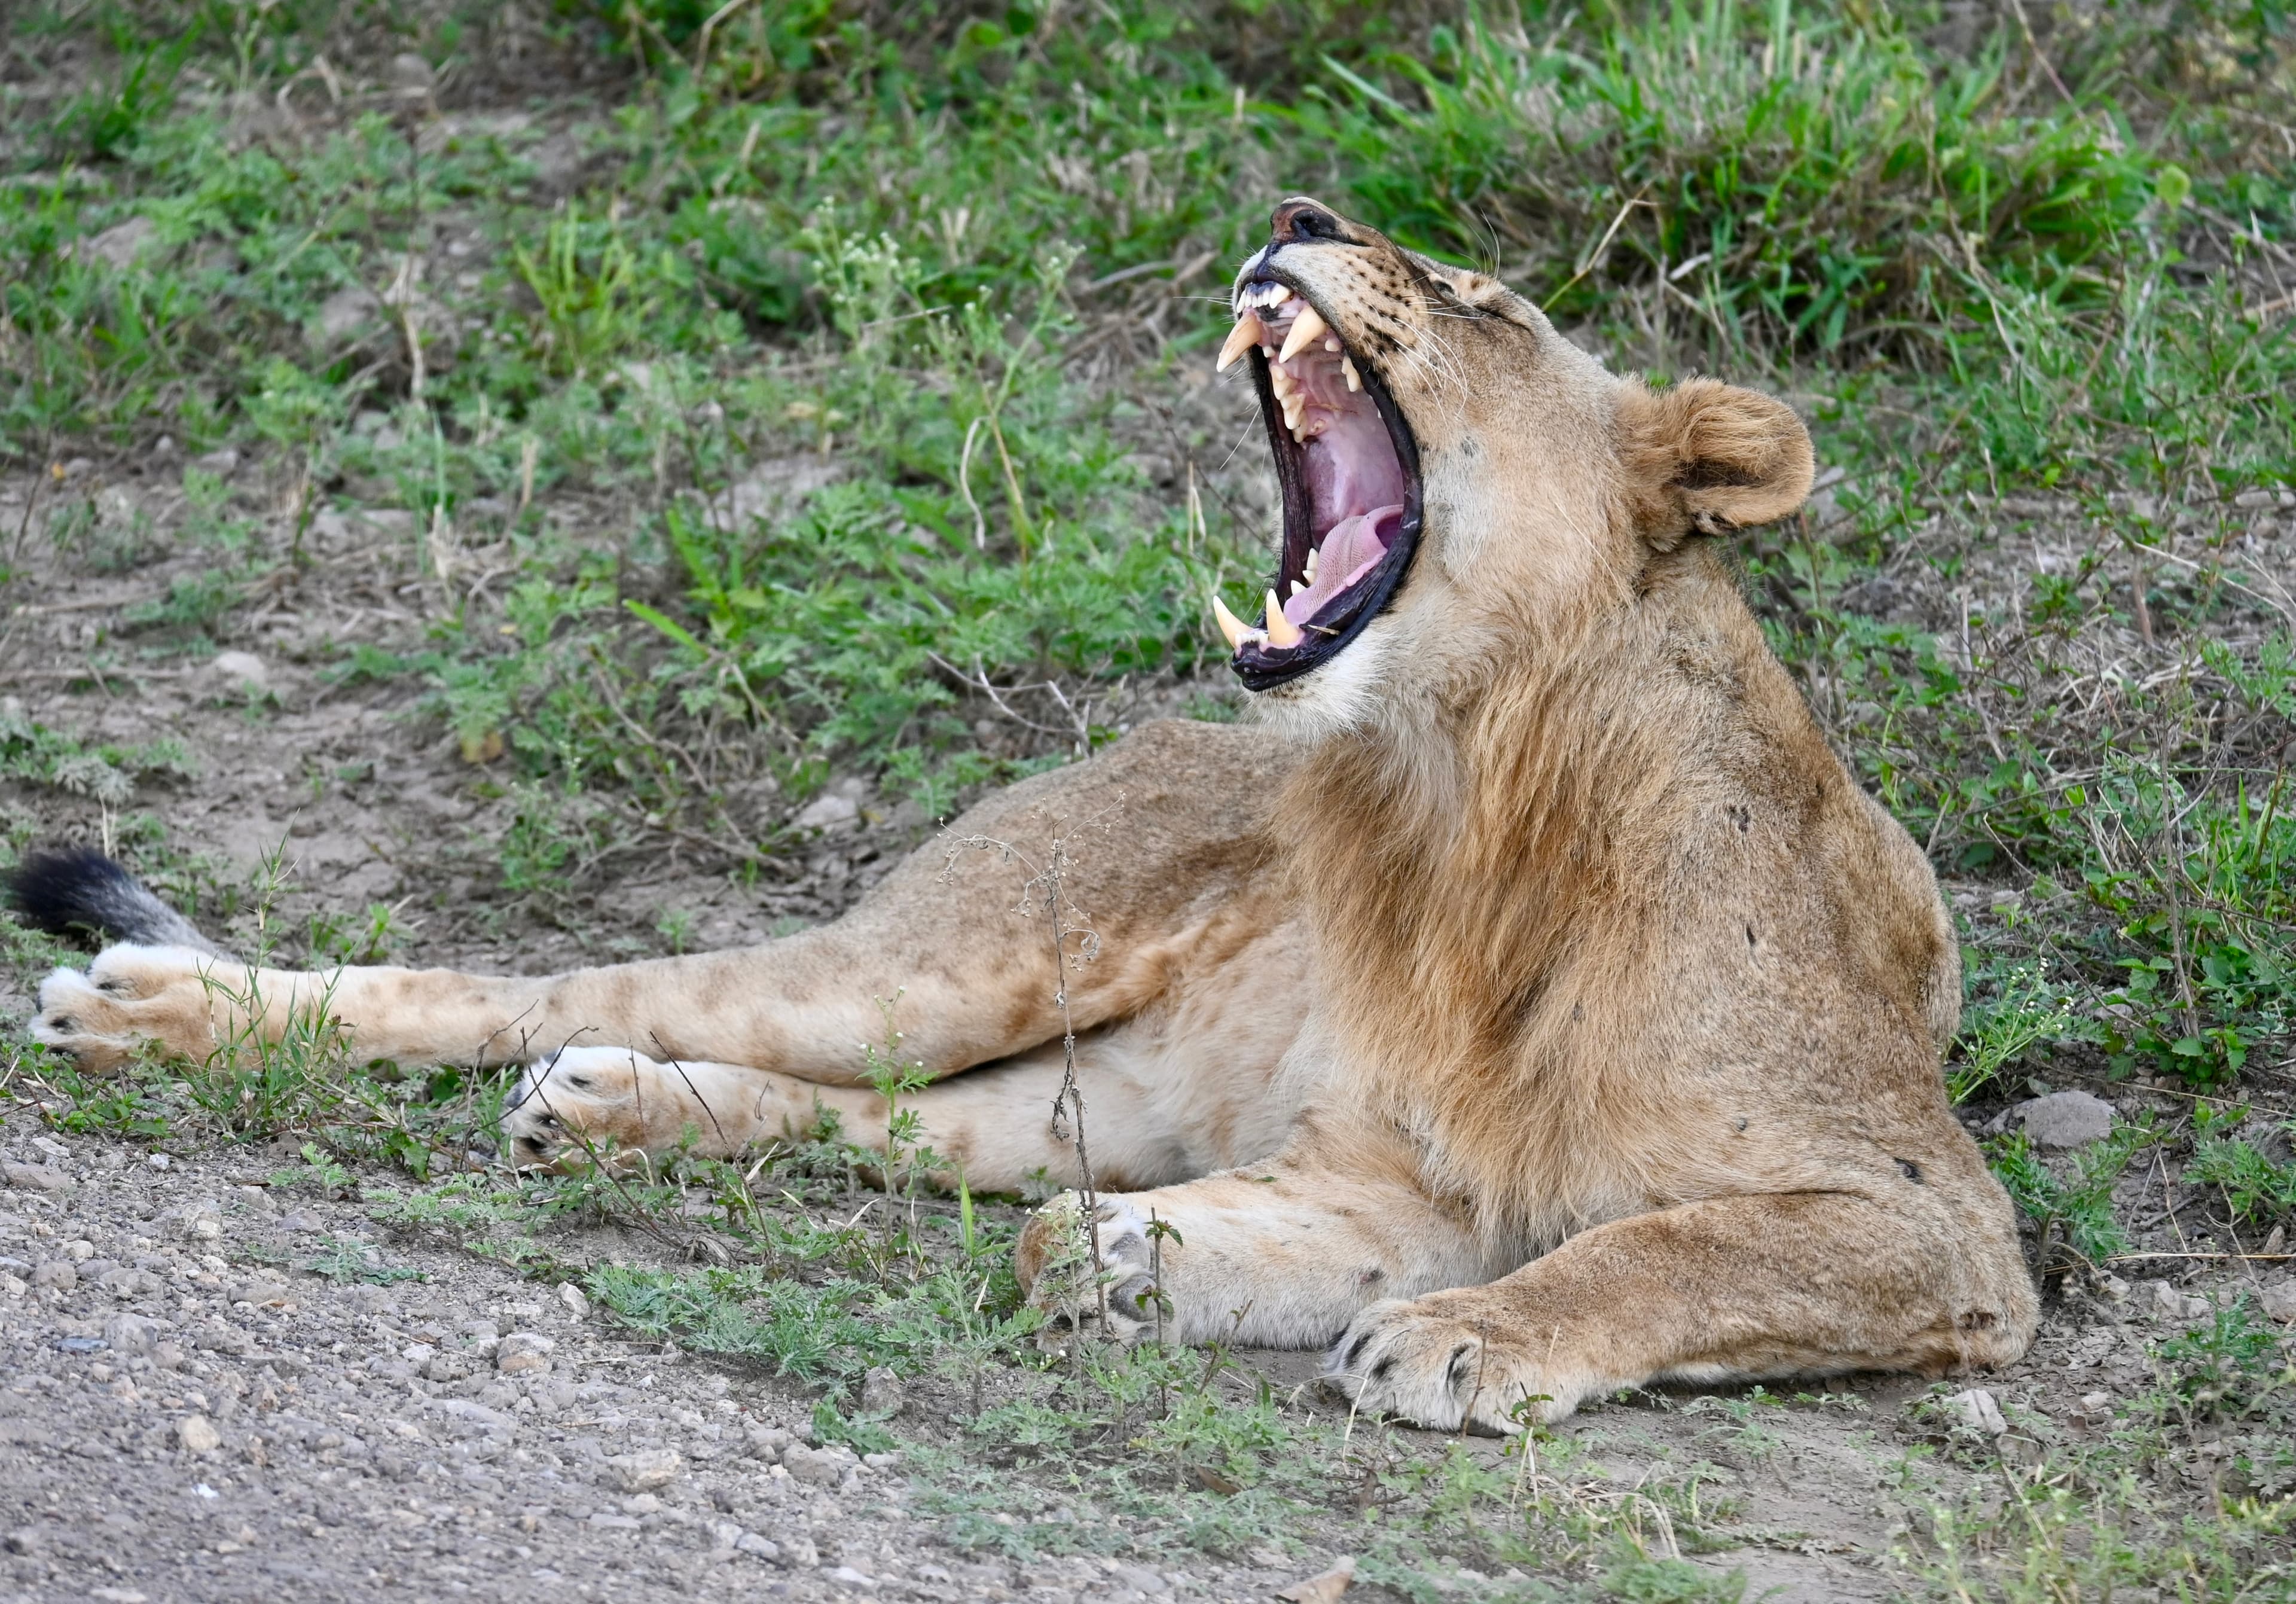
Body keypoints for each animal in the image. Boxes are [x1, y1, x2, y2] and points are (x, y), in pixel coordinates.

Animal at [15, 197, 2036, 1430]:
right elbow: (1669, 1244)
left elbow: (1672, 1242)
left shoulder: (1922, 1215)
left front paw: (1387, 1320)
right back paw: (161, 1014)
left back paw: (609, 1118)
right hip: (960, 957)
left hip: (1098, 1086)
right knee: (559, 988)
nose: (1301, 218)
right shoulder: (1407, 1157)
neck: (1453, 801)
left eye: (1486, 306)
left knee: (882, 1127)